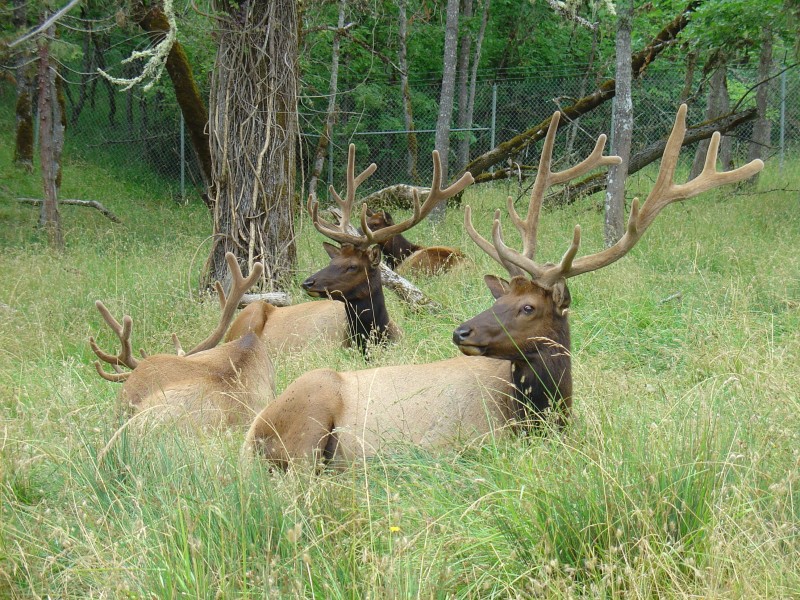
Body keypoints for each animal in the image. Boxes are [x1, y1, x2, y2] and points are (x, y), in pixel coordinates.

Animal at [242, 104, 764, 468]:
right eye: (502, 297)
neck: (542, 418)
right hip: (308, 416)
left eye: (528, 306)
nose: (461, 332)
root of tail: (252, 435)